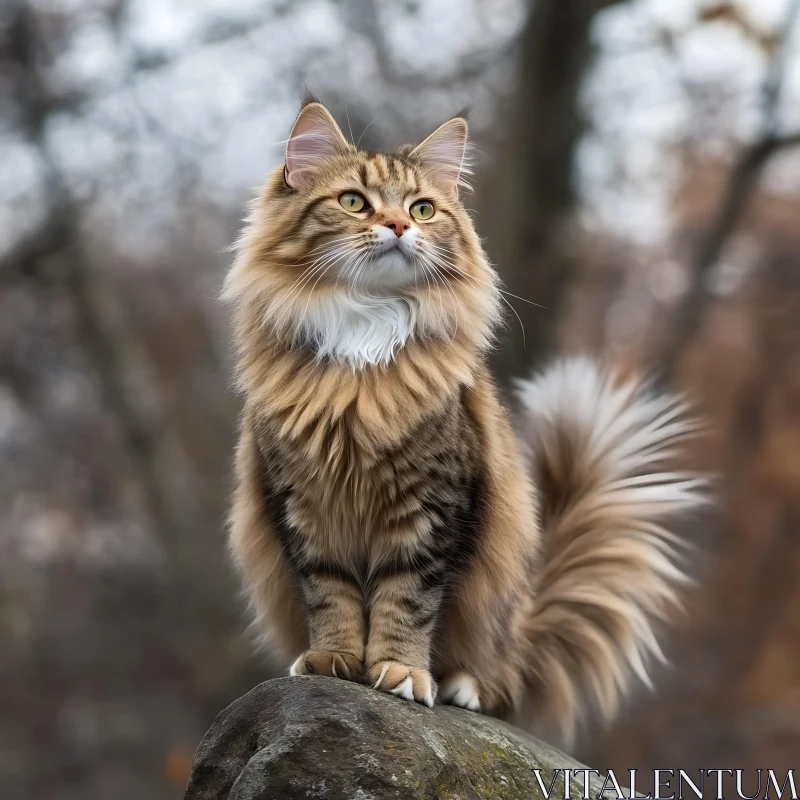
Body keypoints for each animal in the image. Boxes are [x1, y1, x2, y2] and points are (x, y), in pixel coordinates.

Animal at [222, 97, 704, 740]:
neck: (363, 346)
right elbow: (331, 596)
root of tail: (527, 617)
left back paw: (464, 686)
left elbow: (406, 601)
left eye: (423, 209)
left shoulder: (434, 505)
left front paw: (400, 673)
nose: (399, 228)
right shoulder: (301, 507)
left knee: (501, 680)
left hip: (499, 599)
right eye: (354, 202)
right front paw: (335, 660)